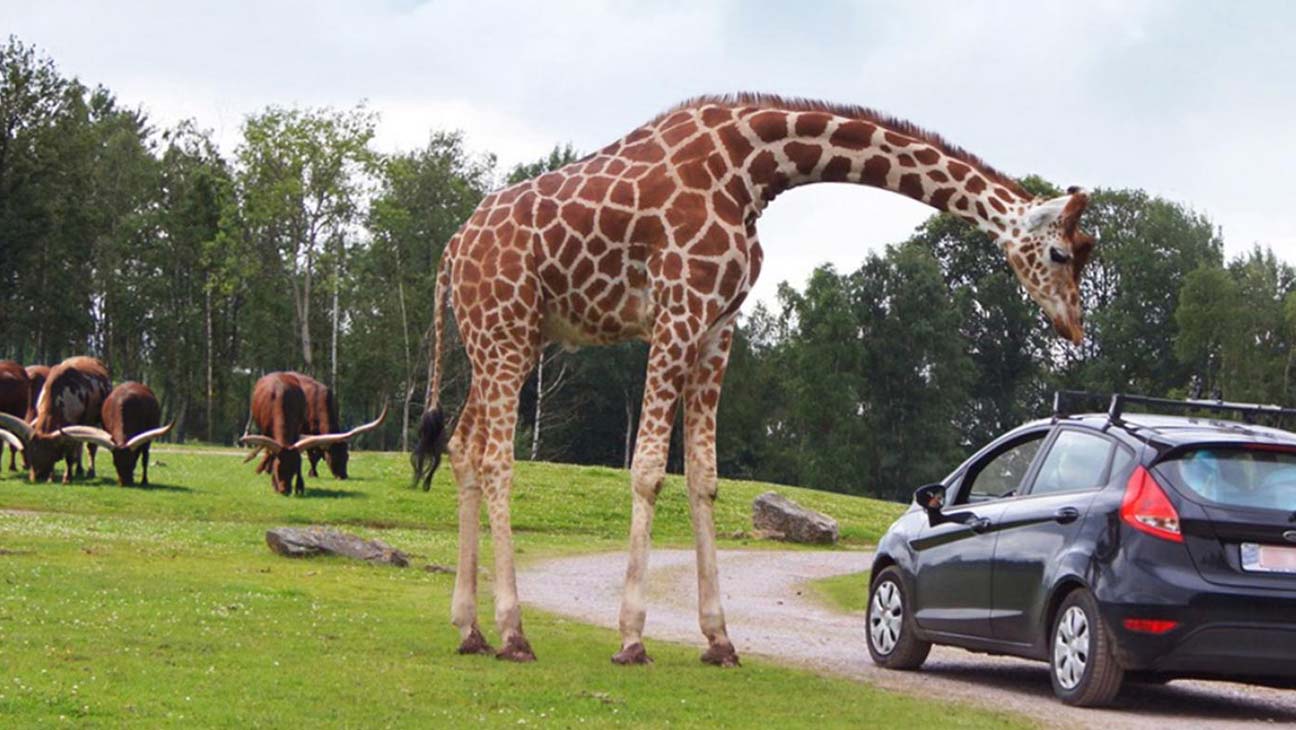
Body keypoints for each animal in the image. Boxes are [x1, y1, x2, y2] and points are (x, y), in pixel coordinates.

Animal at [238, 370, 381, 497]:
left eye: (346, 456)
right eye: (334, 456)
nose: (343, 476)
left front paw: (307, 478)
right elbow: (311, 456)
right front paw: (311, 474)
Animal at [412, 92, 1093, 669]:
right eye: (1060, 253)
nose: (1074, 327)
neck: (753, 168)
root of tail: (451, 251)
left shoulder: (718, 325)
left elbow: (705, 477)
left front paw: (719, 640)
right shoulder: (678, 311)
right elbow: (648, 468)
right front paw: (631, 638)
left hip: (510, 337)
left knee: (464, 445)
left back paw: (469, 628)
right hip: (504, 327)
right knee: (497, 457)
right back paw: (513, 633)